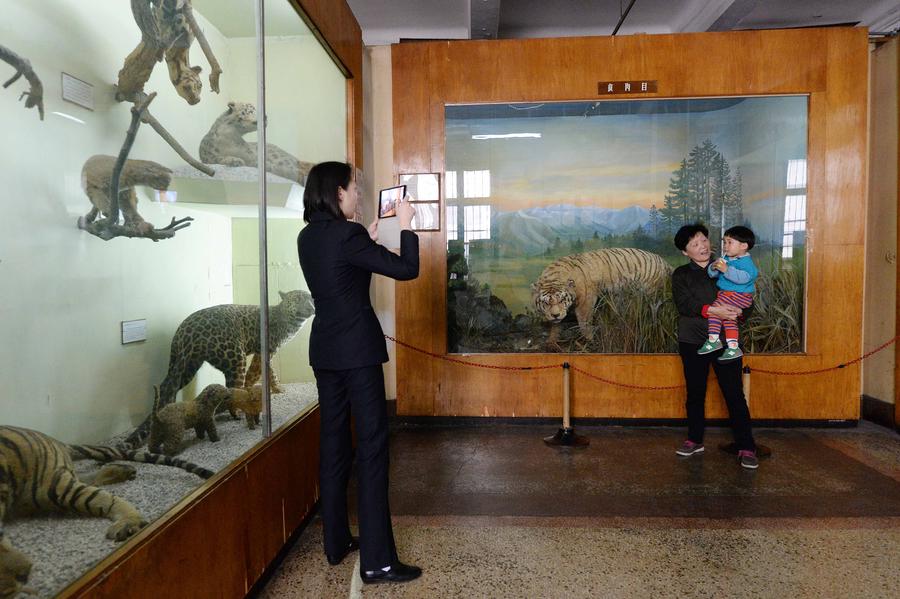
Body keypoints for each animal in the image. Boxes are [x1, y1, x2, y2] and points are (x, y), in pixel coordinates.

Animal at [0, 424, 213, 596]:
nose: (25, 574)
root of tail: (51, 439)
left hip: (53, 485)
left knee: (102, 494)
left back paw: (129, 520)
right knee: (89, 481)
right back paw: (123, 471)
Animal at [123, 290, 312, 450]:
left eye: (310, 298)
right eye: (297, 299)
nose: (311, 307)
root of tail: (188, 329)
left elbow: (269, 371)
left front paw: (276, 388)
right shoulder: (265, 350)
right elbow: (256, 373)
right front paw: (262, 390)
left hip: (186, 366)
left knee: (166, 388)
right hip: (235, 358)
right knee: (232, 388)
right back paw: (237, 413)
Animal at [532, 247, 672, 342]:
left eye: (561, 300)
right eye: (546, 302)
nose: (555, 315)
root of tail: (664, 261)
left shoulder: (586, 302)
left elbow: (584, 321)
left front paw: (588, 339)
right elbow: (556, 326)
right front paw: (552, 340)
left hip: (651, 293)